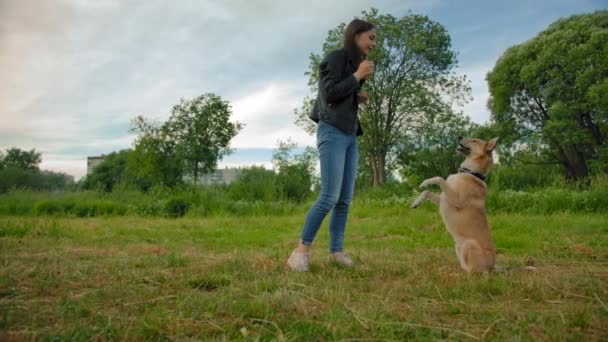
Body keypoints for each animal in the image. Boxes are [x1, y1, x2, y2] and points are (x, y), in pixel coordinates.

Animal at [408, 136, 498, 272]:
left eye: (474, 140)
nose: (459, 136)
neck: (470, 172)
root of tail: (492, 267)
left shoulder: (456, 200)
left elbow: (439, 178)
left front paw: (426, 181)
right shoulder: (444, 198)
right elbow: (427, 192)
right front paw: (416, 202)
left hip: (469, 244)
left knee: (475, 271)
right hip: (458, 248)